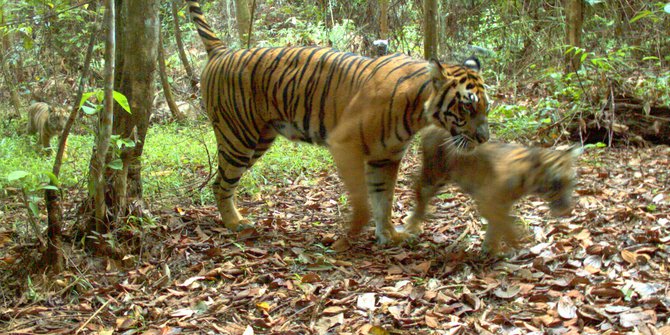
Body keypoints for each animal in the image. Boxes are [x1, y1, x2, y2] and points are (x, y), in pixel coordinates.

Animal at [186, 0, 490, 244]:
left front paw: (389, 235)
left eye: (487, 106)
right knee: (220, 183)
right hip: (238, 138)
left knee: (222, 181)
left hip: (258, 139)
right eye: (467, 105)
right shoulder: (346, 145)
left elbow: (384, 198)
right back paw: (234, 223)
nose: (484, 138)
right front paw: (354, 233)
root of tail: (222, 52)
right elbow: (363, 198)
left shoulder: (386, 158)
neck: (417, 111)